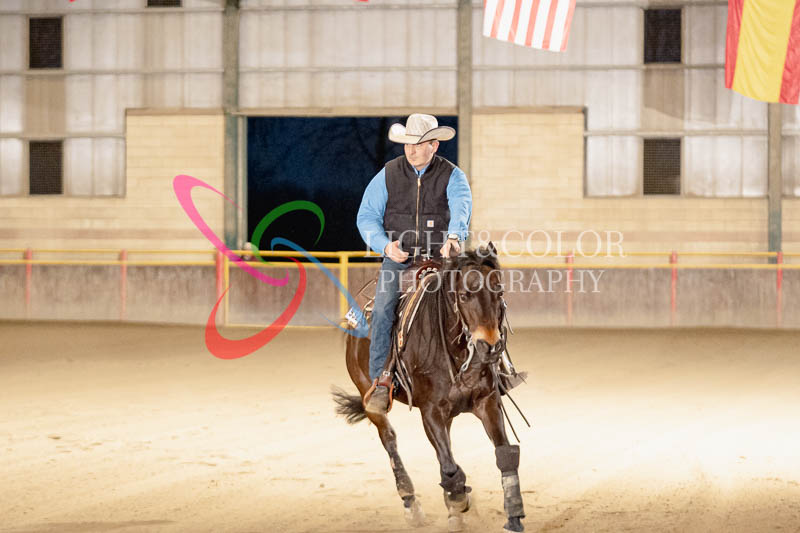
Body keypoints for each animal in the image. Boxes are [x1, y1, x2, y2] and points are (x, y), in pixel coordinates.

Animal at [332, 243, 526, 532]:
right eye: (465, 296)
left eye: (499, 292)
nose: (490, 347)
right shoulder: (431, 412)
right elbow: (449, 466)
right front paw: (458, 502)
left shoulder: (487, 402)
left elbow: (503, 453)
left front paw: (513, 514)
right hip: (370, 397)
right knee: (390, 439)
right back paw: (411, 504)